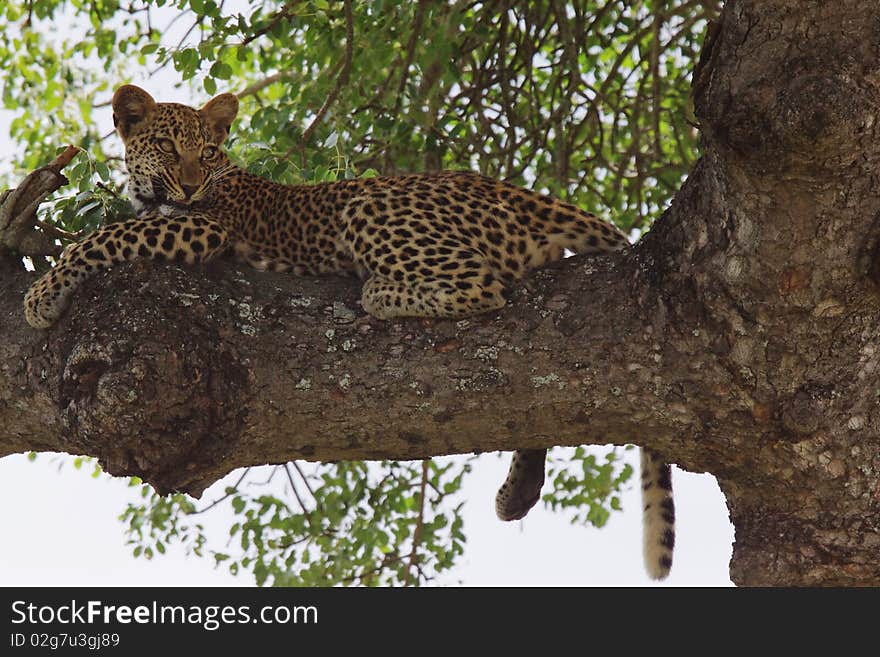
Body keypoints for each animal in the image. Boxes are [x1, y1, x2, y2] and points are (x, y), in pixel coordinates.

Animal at [25, 83, 672, 580]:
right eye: (166, 146)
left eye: (206, 154)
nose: (187, 186)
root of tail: (506, 188)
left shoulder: (200, 228)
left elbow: (105, 236)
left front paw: (41, 295)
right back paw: (517, 491)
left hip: (369, 207)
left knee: (481, 287)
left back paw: (378, 292)